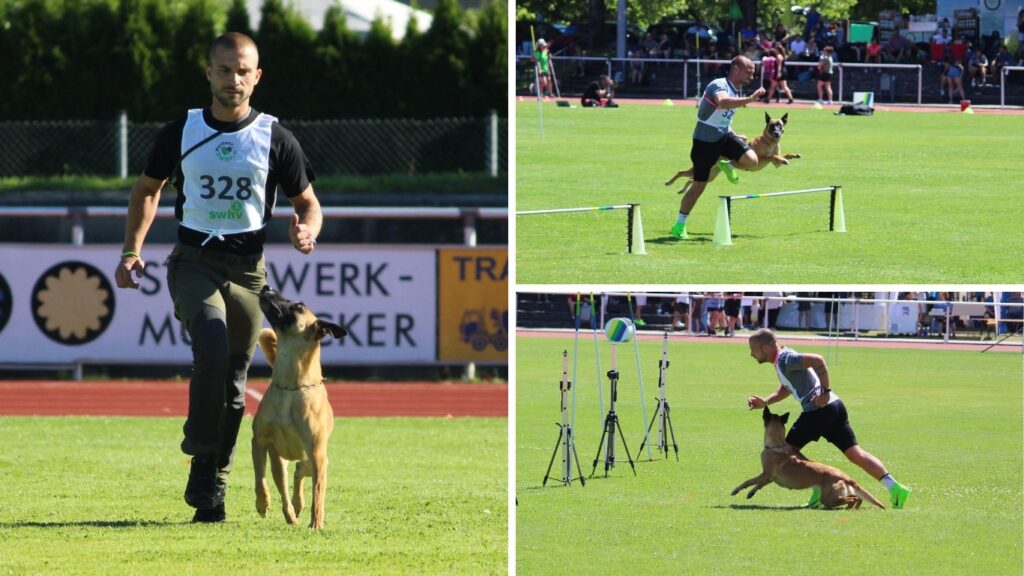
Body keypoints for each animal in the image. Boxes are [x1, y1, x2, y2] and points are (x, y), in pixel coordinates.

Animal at [254, 284, 348, 528]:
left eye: (298, 305)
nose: (267, 287)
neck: (291, 386)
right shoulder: (259, 441)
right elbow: (260, 477)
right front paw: (263, 503)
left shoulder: (317, 454)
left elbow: (318, 493)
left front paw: (316, 523)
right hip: (281, 459)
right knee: (285, 482)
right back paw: (291, 512)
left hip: (314, 459)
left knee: (301, 472)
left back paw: (298, 506)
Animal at [667, 111, 802, 195]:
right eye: (772, 126)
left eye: (780, 125)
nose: (777, 133)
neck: (769, 142)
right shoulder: (759, 160)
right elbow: (772, 156)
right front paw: (783, 158)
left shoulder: (775, 164)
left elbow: (779, 157)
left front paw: (793, 155)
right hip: (702, 169)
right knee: (681, 172)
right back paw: (669, 182)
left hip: (710, 176)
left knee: (691, 179)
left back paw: (682, 190)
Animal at [733, 403, 884, 506]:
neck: (777, 445)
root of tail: (846, 477)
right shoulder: (769, 478)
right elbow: (757, 483)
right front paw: (750, 492)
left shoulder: (766, 474)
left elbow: (749, 481)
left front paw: (739, 490)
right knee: (857, 498)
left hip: (829, 498)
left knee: (853, 498)